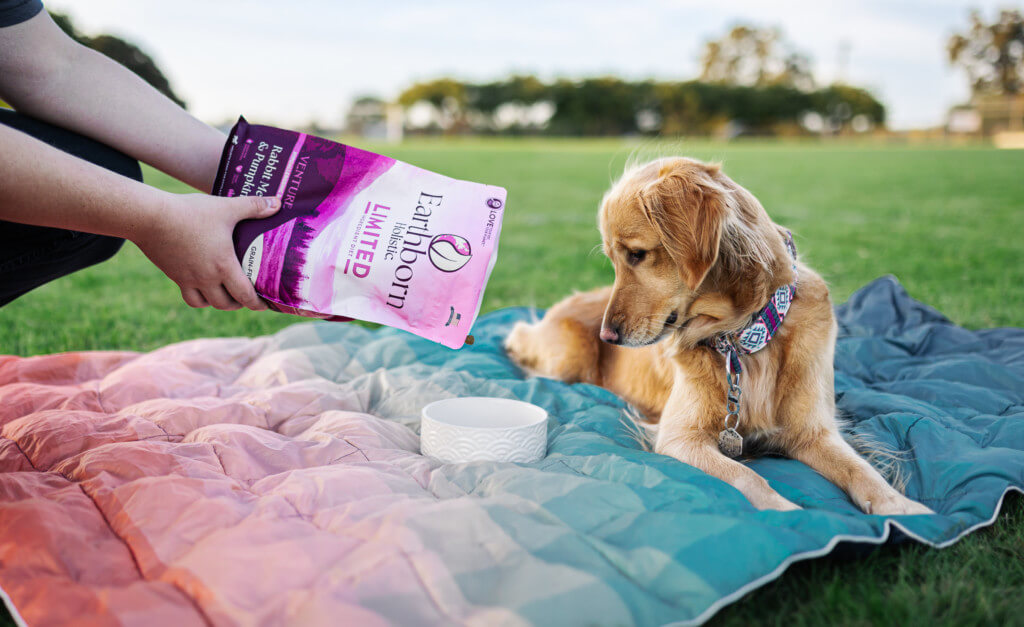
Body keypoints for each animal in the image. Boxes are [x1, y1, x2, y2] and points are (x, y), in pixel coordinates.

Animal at [507, 157, 933, 514]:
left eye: (637, 254)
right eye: (614, 261)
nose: (607, 336)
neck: (744, 337)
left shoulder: (813, 432)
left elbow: (861, 470)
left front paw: (901, 507)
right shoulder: (679, 438)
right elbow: (746, 475)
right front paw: (787, 512)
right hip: (568, 359)